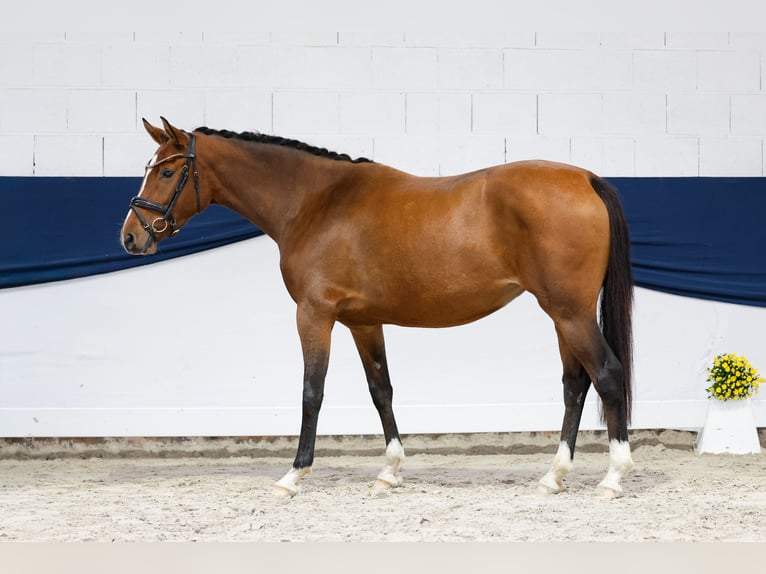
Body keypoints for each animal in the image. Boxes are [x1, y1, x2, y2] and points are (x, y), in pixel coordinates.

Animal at [121, 117, 635, 499]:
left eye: (166, 172)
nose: (130, 236)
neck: (316, 203)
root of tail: (585, 179)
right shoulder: (363, 322)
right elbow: (380, 389)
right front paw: (390, 471)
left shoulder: (314, 315)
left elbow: (312, 392)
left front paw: (293, 475)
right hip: (563, 314)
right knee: (575, 384)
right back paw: (554, 476)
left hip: (569, 312)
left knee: (607, 374)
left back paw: (613, 477)